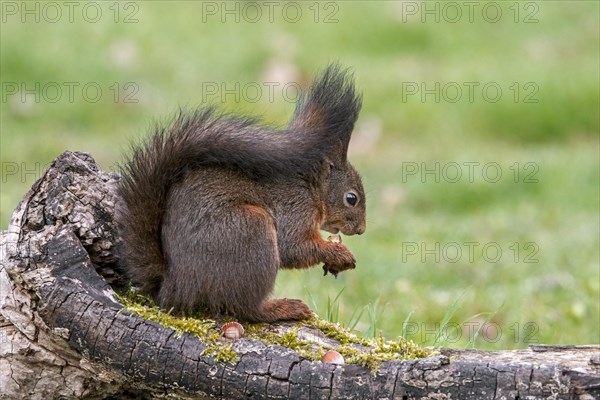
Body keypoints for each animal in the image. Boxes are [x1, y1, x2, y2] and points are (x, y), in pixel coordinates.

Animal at [115, 65, 364, 322]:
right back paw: (282, 308)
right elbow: (294, 247)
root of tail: (174, 286)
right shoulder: (295, 208)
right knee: (246, 308)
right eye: (351, 198)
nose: (361, 229)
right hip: (251, 230)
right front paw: (338, 253)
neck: (311, 187)